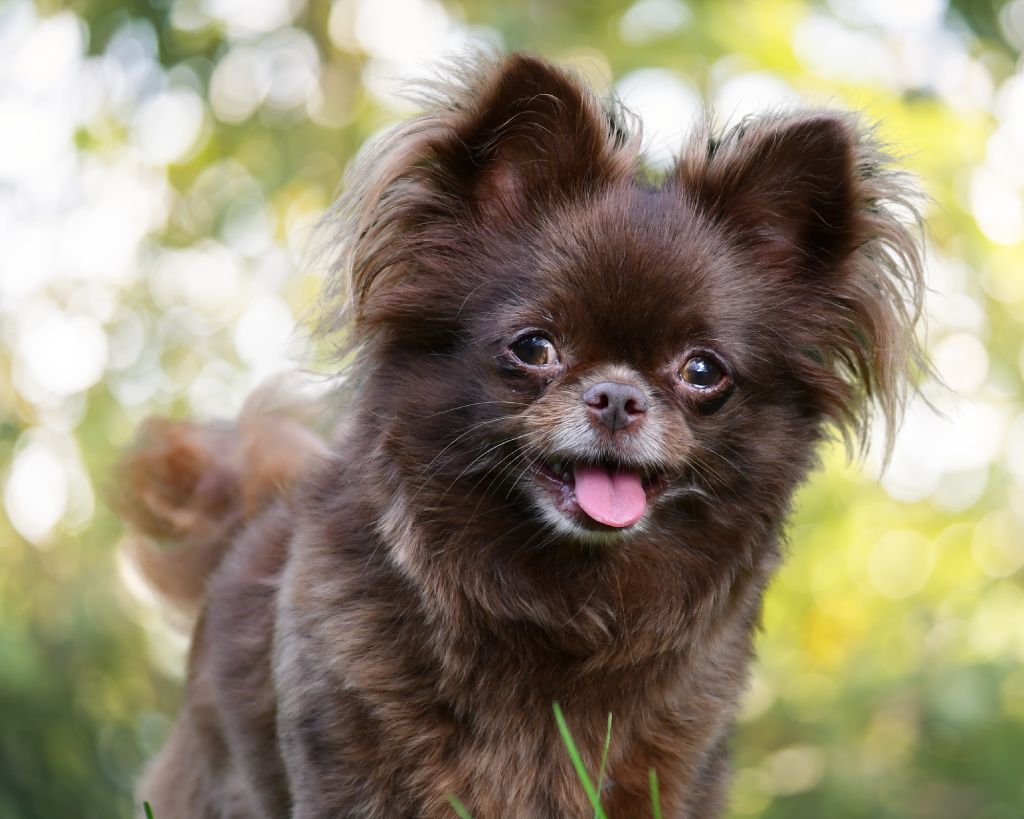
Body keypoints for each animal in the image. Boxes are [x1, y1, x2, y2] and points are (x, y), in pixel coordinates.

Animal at [118, 51, 925, 818]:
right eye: (535, 348)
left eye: (703, 370)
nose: (618, 395)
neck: (562, 601)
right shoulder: (351, 764)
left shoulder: (666, 773)